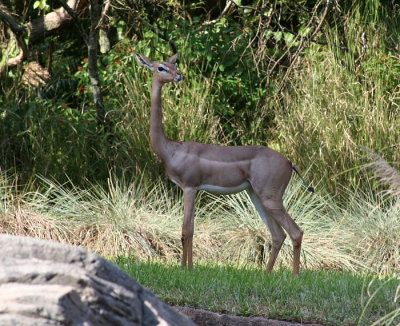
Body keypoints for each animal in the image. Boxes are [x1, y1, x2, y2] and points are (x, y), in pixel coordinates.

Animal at [136, 52, 314, 276]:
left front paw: (187, 269)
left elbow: (186, 230)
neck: (171, 148)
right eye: (161, 67)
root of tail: (290, 162)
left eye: (171, 65)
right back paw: (266, 273)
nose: (179, 75)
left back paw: (295, 275)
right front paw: (188, 267)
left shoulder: (190, 187)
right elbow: (190, 229)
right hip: (256, 196)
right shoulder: (193, 189)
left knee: (295, 232)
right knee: (278, 235)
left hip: (270, 198)